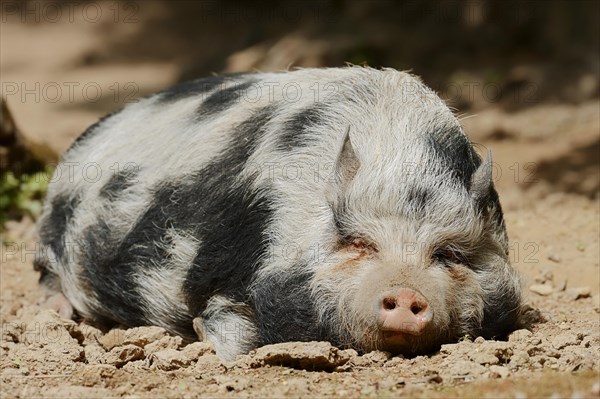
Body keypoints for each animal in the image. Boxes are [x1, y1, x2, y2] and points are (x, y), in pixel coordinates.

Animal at [34, 67, 524, 360]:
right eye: (358, 243)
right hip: (50, 232)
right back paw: (57, 314)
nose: (404, 292)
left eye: (447, 255)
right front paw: (203, 329)